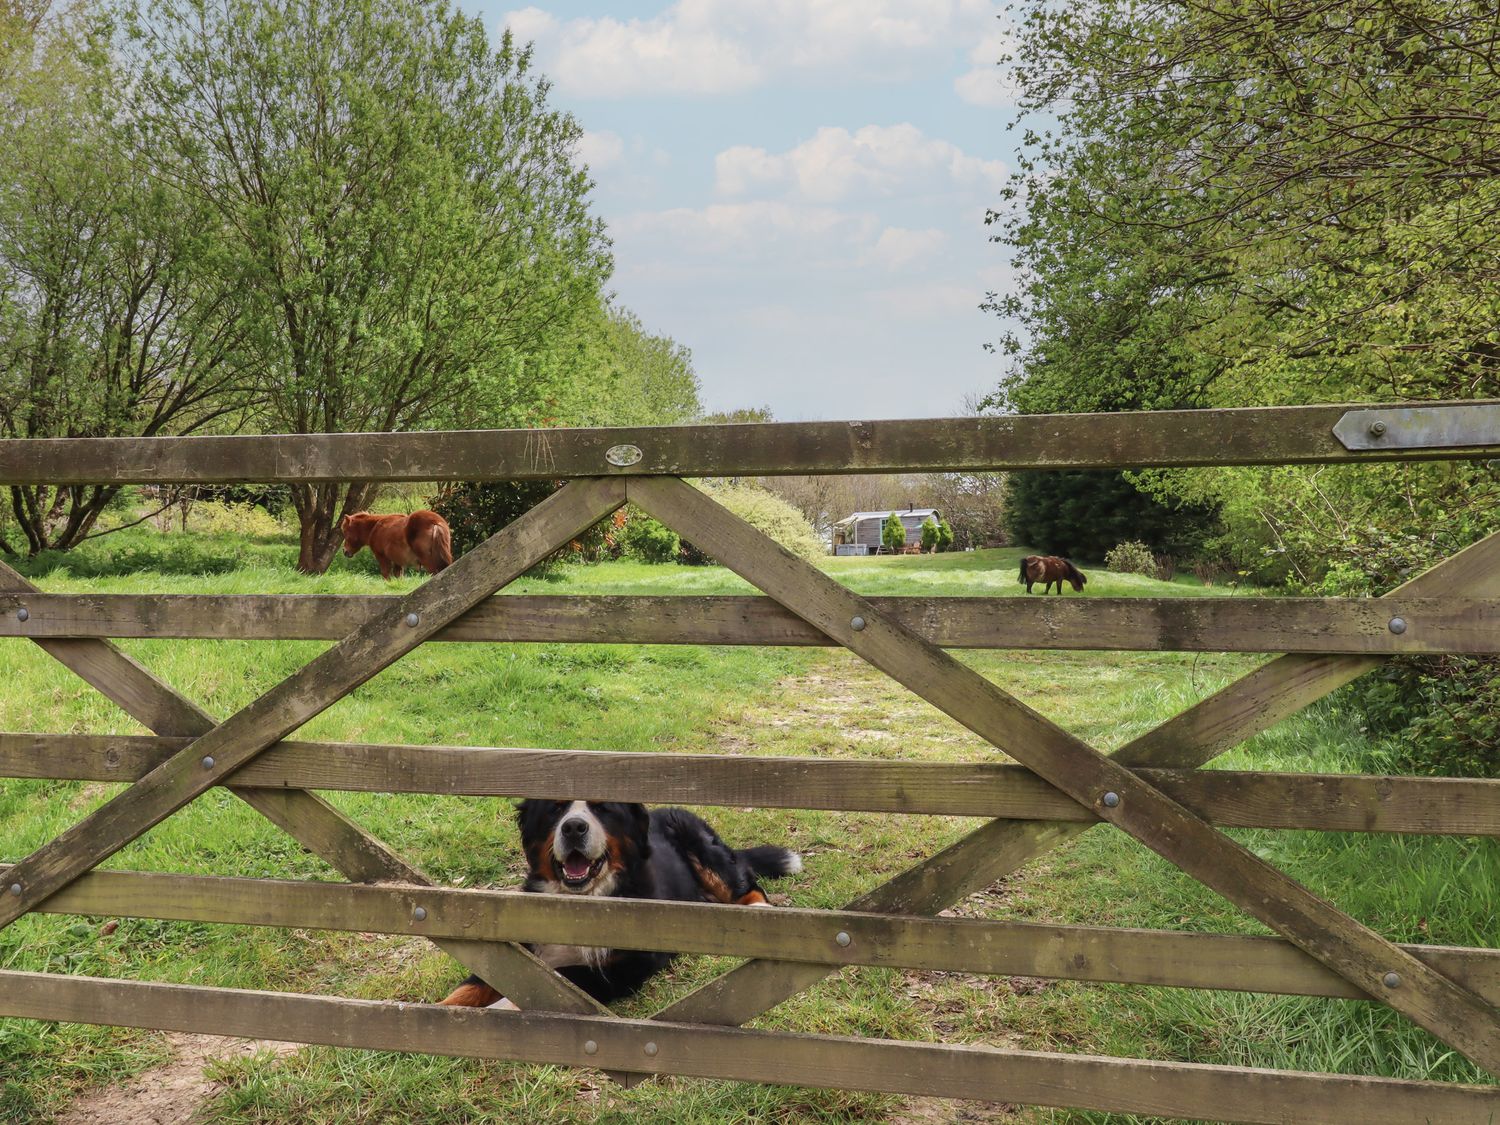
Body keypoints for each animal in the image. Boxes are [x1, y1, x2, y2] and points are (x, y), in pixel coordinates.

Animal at [438, 804, 804, 1014]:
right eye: (553, 812)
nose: (573, 827)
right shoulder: (517, 951)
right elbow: (469, 987)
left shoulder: (621, 968)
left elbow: (556, 981)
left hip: (706, 854)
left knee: (748, 887)